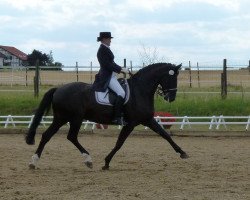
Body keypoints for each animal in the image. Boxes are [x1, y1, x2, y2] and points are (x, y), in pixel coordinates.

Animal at [25, 63, 188, 170]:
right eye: (171, 77)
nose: (171, 98)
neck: (139, 90)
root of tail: (58, 89)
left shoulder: (147, 120)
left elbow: (165, 135)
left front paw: (182, 153)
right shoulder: (131, 123)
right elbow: (119, 143)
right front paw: (106, 162)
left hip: (61, 118)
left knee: (47, 135)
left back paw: (33, 162)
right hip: (75, 118)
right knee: (71, 137)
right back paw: (88, 160)